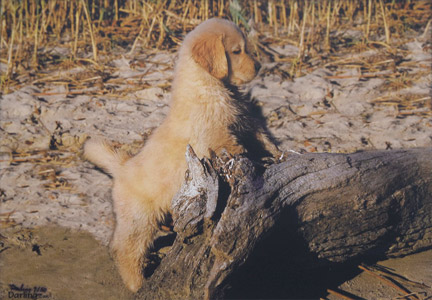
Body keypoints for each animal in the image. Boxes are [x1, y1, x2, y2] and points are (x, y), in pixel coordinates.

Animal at [84, 17, 280, 292]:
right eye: (237, 51)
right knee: (126, 250)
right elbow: (235, 147)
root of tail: (122, 166)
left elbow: (262, 136)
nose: (260, 66)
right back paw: (136, 284)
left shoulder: (246, 122)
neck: (208, 84)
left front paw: (275, 152)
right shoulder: (216, 135)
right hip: (138, 219)